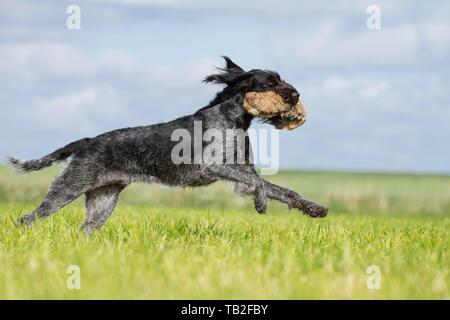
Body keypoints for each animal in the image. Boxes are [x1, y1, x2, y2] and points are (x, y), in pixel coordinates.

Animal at [8, 57, 328, 232]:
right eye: (270, 83)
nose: (296, 95)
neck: (234, 118)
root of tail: (87, 141)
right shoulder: (215, 166)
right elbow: (261, 185)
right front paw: (261, 204)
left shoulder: (242, 172)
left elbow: (284, 191)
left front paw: (314, 208)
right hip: (69, 187)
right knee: (28, 218)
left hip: (103, 200)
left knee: (83, 229)